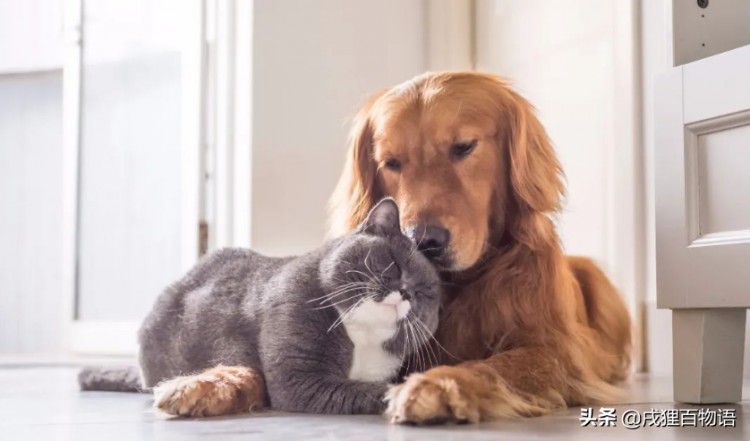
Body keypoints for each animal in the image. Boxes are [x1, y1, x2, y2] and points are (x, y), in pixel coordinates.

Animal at [78, 198, 440, 414]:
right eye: (393, 264)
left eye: (425, 293)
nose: (406, 293)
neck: (362, 337)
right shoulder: (300, 378)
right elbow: (370, 390)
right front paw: (409, 395)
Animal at [332, 72, 632, 422]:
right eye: (391, 163)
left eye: (463, 147)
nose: (423, 240)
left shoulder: (555, 350)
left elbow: (493, 366)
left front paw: (437, 384)